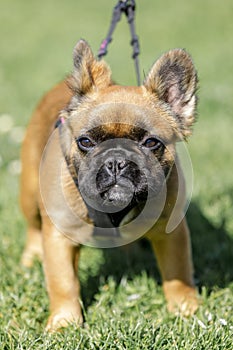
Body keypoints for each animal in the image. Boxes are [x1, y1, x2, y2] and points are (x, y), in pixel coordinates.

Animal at [20, 39, 198, 330]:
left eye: (151, 143)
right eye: (86, 142)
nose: (116, 161)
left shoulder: (170, 230)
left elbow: (178, 271)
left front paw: (185, 309)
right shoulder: (60, 235)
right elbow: (63, 283)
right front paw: (64, 323)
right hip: (28, 194)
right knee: (34, 227)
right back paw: (31, 258)